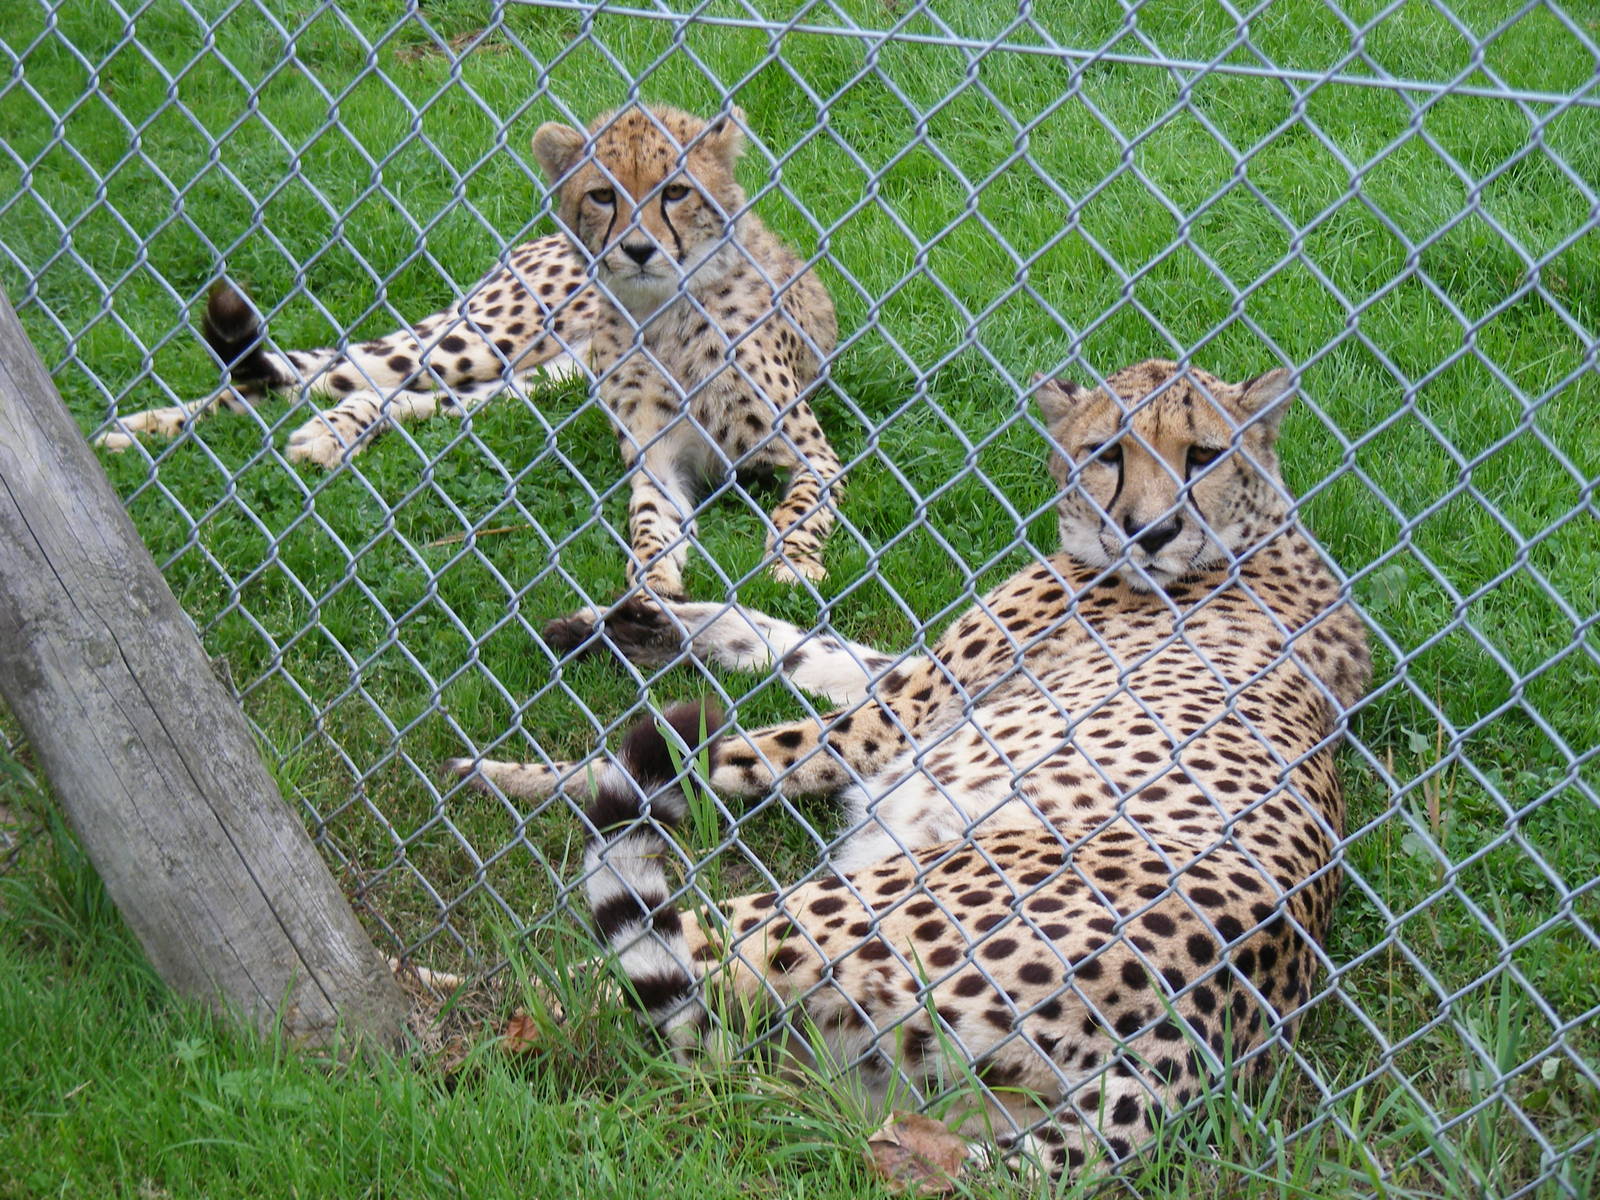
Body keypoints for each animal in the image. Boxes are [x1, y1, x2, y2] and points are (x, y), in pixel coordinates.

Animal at [98, 104, 843, 595]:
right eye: (603, 194)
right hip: (480, 341)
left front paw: (791, 562)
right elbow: (648, 522)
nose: (636, 249)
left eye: (677, 191)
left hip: (536, 384)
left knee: (393, 396)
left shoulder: (813, 454)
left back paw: (325, 435)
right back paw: (135, 430)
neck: (662, 313)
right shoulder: (659, 460)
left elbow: (798, 510)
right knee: (327, 370)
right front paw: (652, 574)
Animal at [446, 359, 1371, 1178]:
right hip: (906, 1075)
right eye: (1108, 450)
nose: (1151, 531)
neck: (1250, 540)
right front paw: (635, 622)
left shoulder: (888, 722)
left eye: (1204, 455)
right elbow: (800, 642)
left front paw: (513, 772)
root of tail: (1198, 1036)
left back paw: (464, 1006)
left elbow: (730, 749)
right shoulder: (906, 684)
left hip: (846, 908)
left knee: (622, 978)